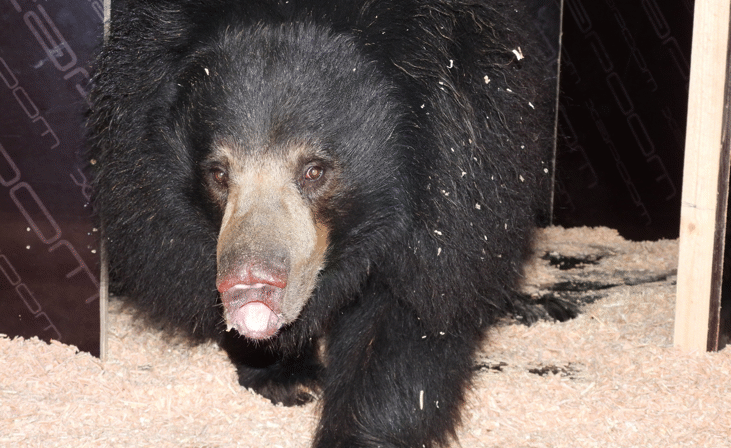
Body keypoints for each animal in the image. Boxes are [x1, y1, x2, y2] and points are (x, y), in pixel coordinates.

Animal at [87, 1, 548, 446]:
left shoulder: (458, 183)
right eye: (218, 174)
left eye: (314, 171)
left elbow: (410, 317)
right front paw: (285, 377)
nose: (249, 286)